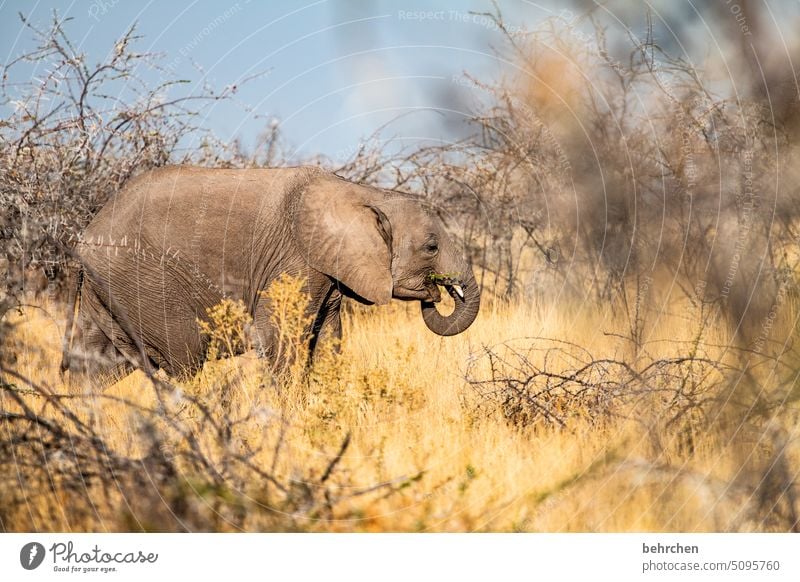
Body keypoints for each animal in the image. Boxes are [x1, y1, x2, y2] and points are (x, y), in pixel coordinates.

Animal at [61, 167, 482, 380]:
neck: (365, 193)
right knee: (185, 359)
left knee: (94, 366)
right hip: (145, 282)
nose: (437, 292)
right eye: (431, 247)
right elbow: (281, 342)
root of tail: (83, 240)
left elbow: (326, 341)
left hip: (110, 289)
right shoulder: (295, 261)